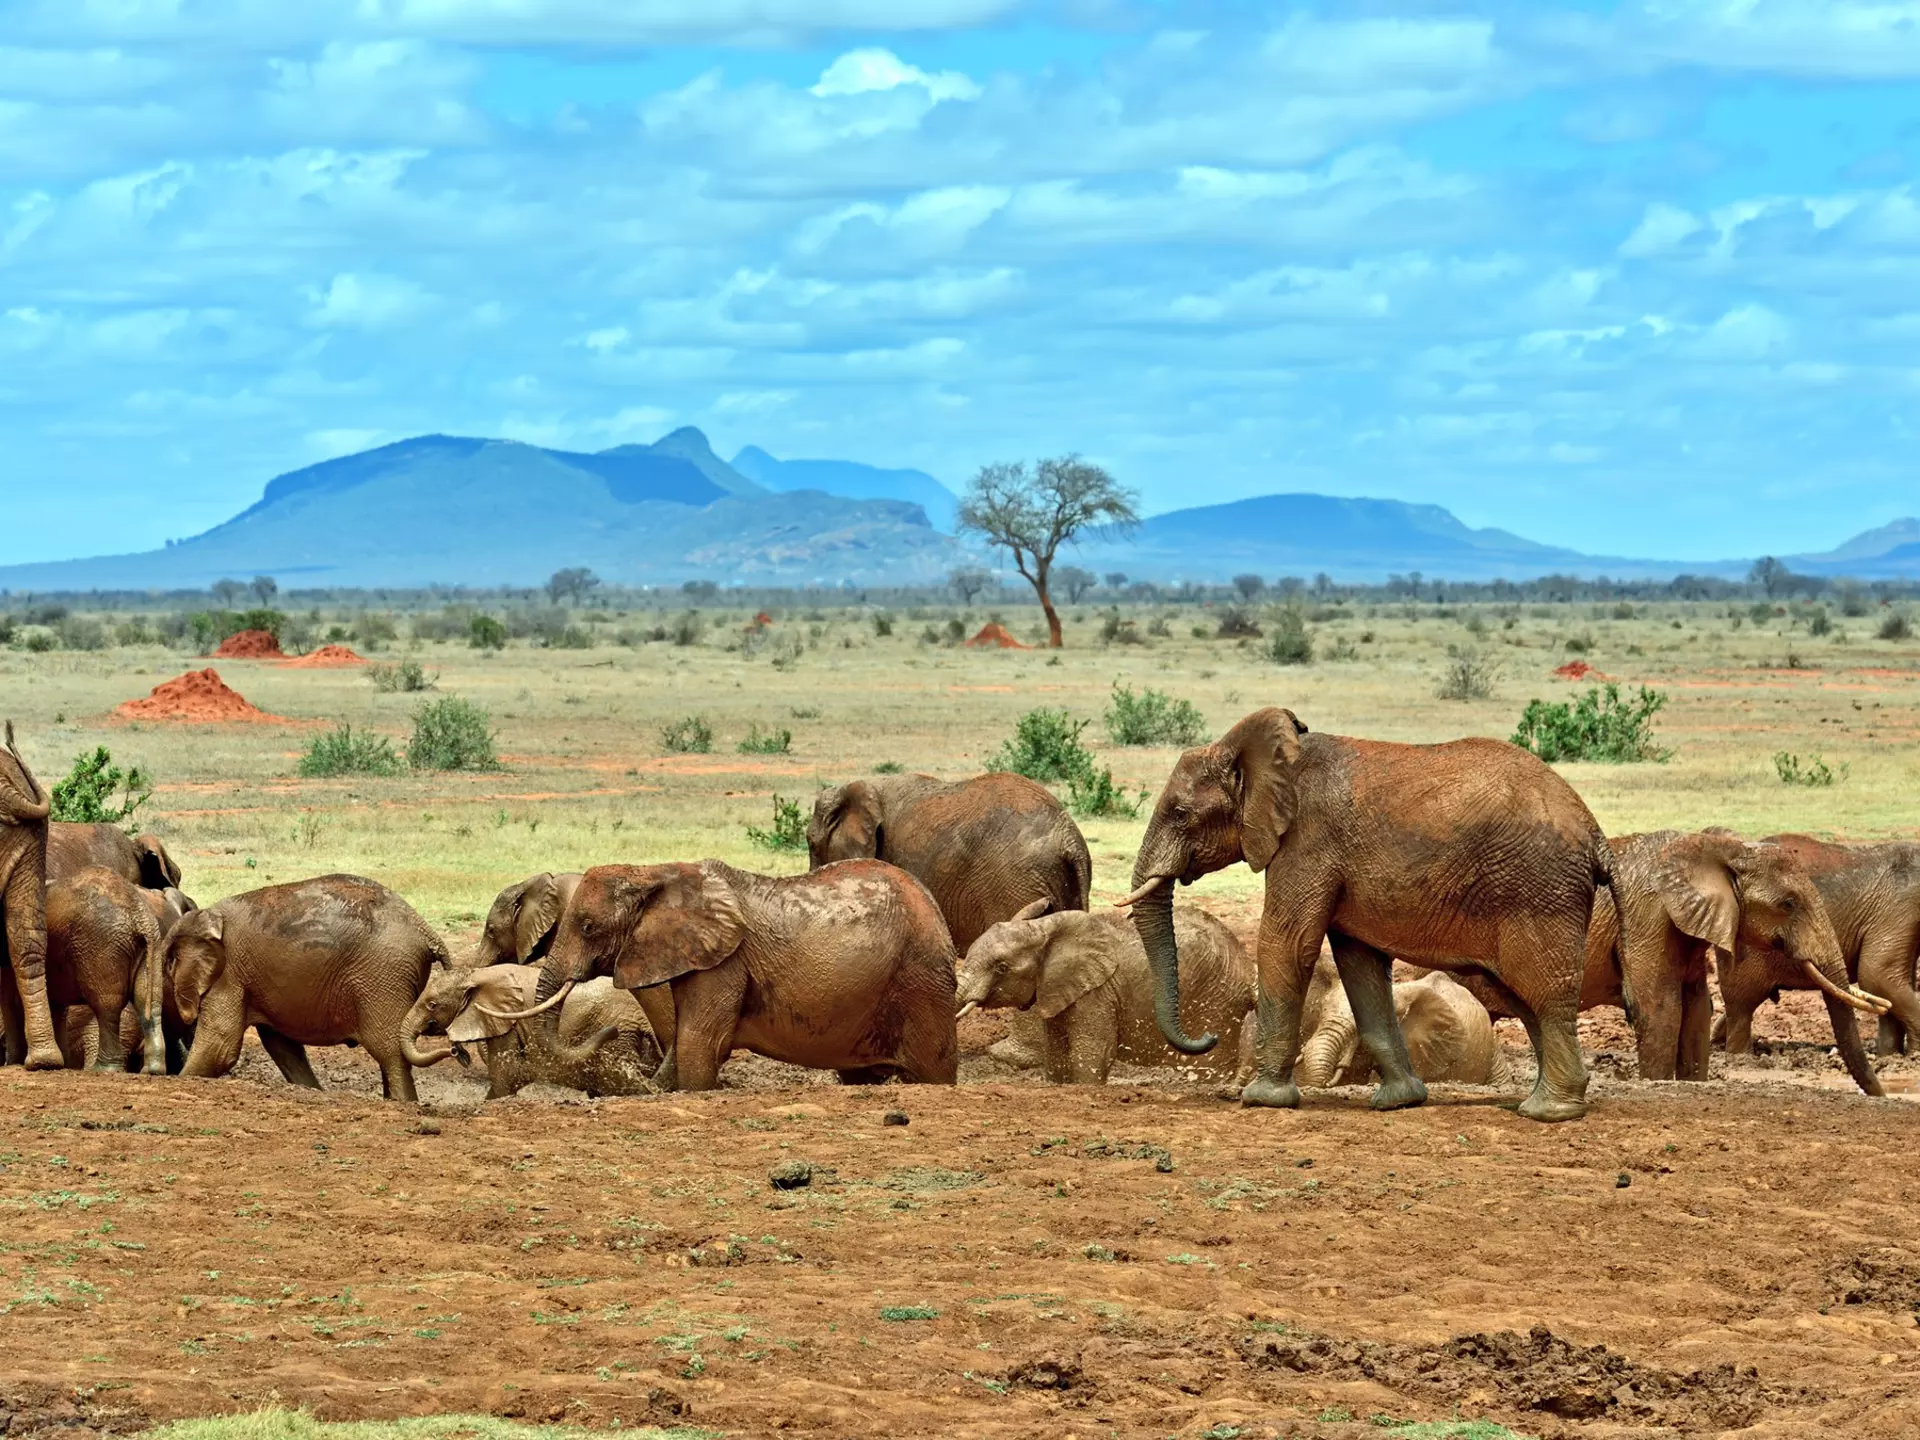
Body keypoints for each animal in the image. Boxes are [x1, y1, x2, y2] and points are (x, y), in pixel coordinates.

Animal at [45, 866, 166, 1074]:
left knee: (106, 1006)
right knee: (149, 1001)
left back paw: (103, 1069)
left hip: (102, 945)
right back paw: (152, 1071)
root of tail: (140, 916)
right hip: (152, 945)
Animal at [159, 873, 449, 1100]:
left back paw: (403, 1104)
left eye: (166, 967)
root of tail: (424, 929)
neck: (204, 916)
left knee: (389, 1050)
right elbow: (283, 1046)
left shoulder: (228, 973)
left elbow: (220, 1046)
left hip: (382, 976)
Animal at [400, 963, 662, 1098]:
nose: (458, 1053)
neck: (474, 974)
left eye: (432, 1005)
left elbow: (504, 1072)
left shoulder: (504, 1020)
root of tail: (642, 1019)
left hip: (617, 1035)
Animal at [954, 899, 1256, 1083]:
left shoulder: (1097, 994)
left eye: (1002, 967)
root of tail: (1246, 966)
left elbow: (1093, 1051)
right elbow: (1056, 1054)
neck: (1044, 929)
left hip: (1216, 1003)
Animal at [1715, 834, 1920, 1068]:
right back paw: (1741, 1058)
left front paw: (1892, 1056)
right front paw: (1914, 1057)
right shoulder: (1898, 908)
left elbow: (1887, 980)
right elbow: (1876, 975)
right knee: (1742, 1004)